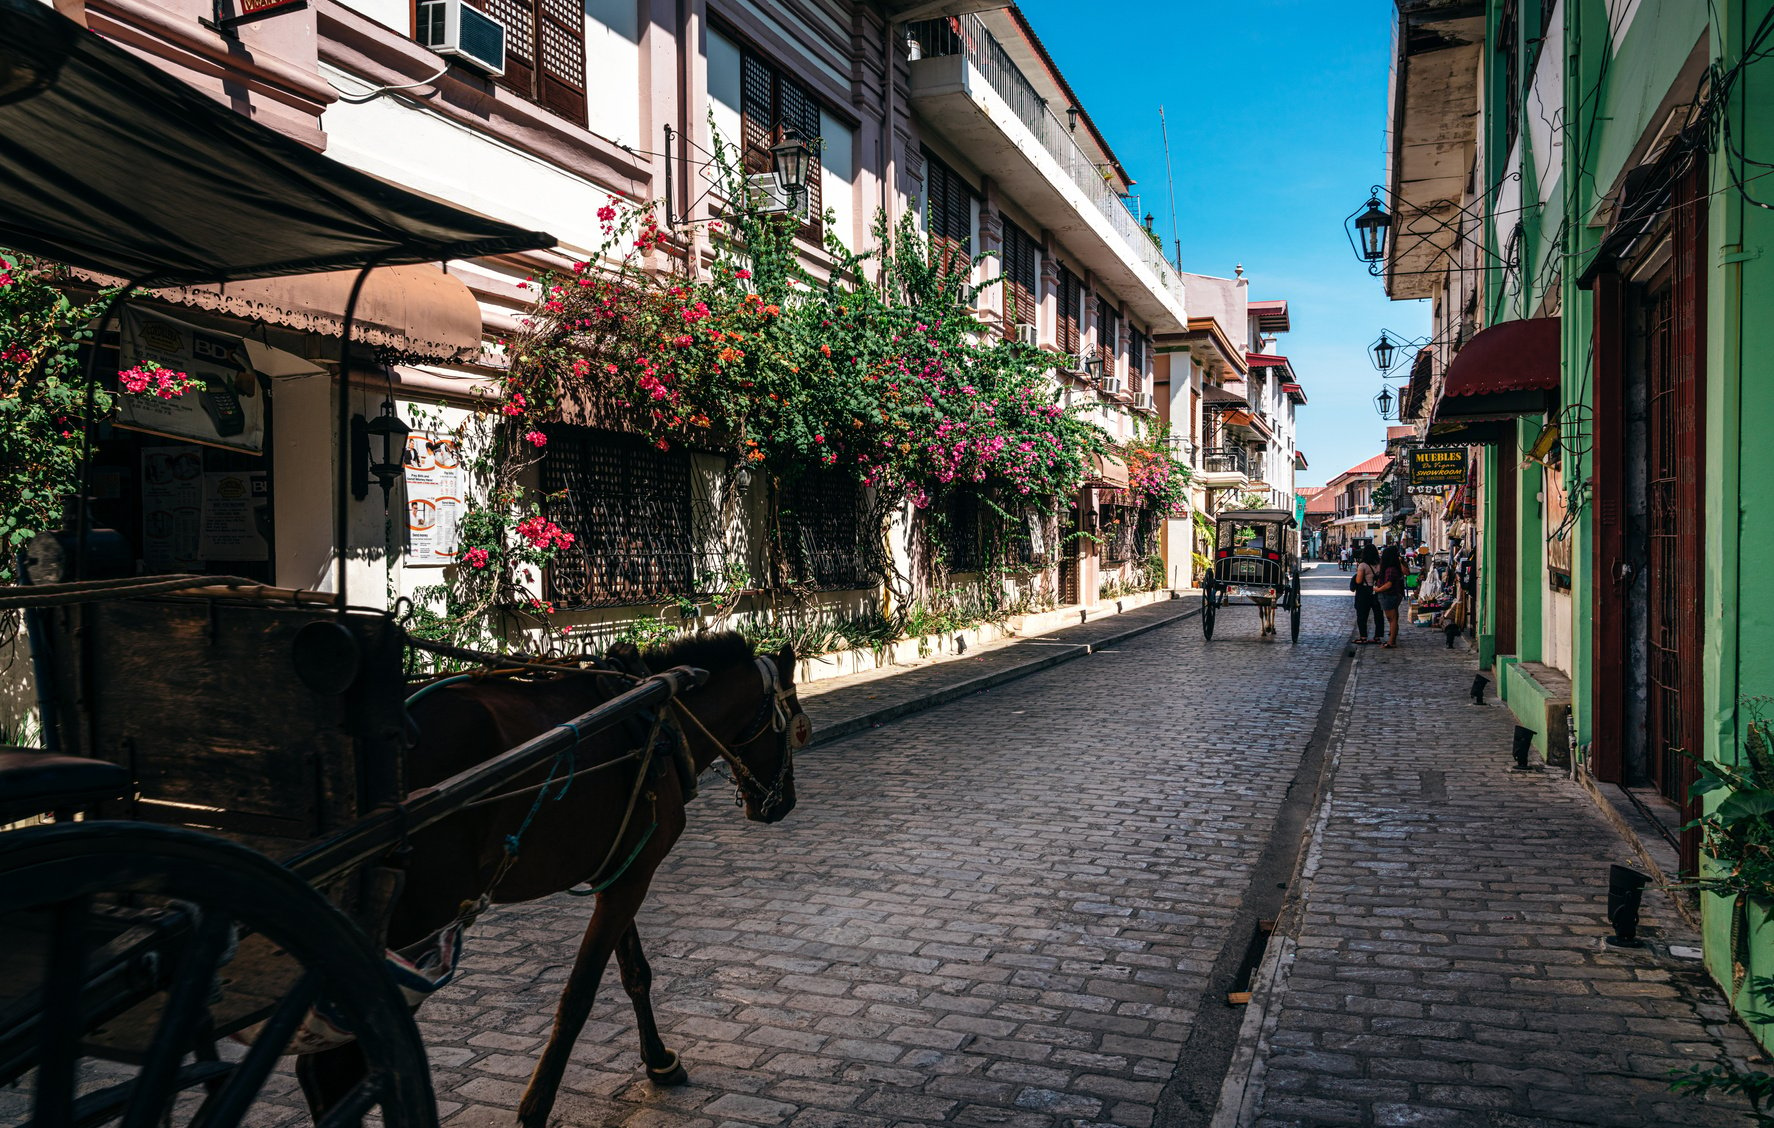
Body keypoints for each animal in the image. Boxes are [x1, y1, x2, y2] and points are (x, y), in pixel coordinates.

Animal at [299, 634, 812, 1128]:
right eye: (793, 725)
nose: (783, 803)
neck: (660, 716)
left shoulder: (621, 869)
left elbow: (635, 973)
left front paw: (660, 1062)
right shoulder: (632, 879)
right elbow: (579, 996)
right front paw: (535, 1108)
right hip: (412, 927)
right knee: (342, 1069)